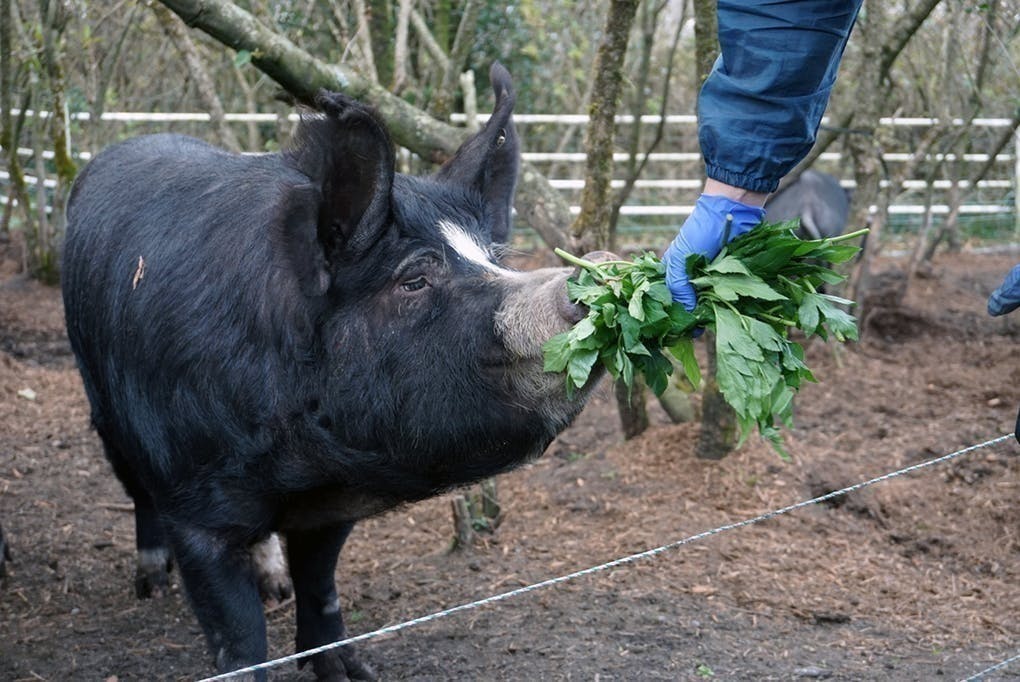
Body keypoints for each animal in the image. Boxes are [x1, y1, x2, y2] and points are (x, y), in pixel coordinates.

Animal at [59, 62, 595, 676]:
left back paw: (274, 589)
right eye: (414, 279)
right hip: (104, 404)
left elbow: (321, 586)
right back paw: (150, 584)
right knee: (135, 490)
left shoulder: (331, 506)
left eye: (492, 258)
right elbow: (237, 633)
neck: (302, 468)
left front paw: (351, 672)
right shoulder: (195, 506)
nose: (585, 282)